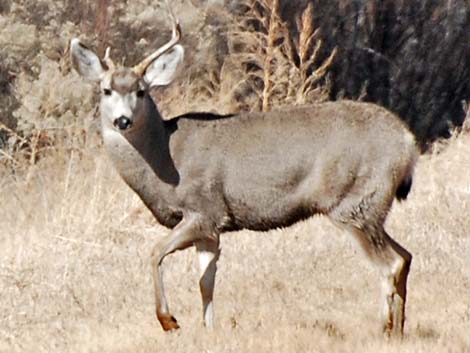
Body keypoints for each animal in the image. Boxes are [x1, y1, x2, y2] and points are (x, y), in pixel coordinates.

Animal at [70, 1, 418, 336]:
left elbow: (155, 252)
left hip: (353, 203)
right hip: (371, 208)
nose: (122, 120)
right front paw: (209, 330)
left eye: (141, 90)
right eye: (106, 90)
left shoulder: (204, 210)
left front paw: (169, 320)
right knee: (405, 256)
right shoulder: (210, 231)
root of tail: (407, 142)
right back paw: (399, 330)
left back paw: (382, 328)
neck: (166, 158)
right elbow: (206, 282)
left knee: (390, 265)